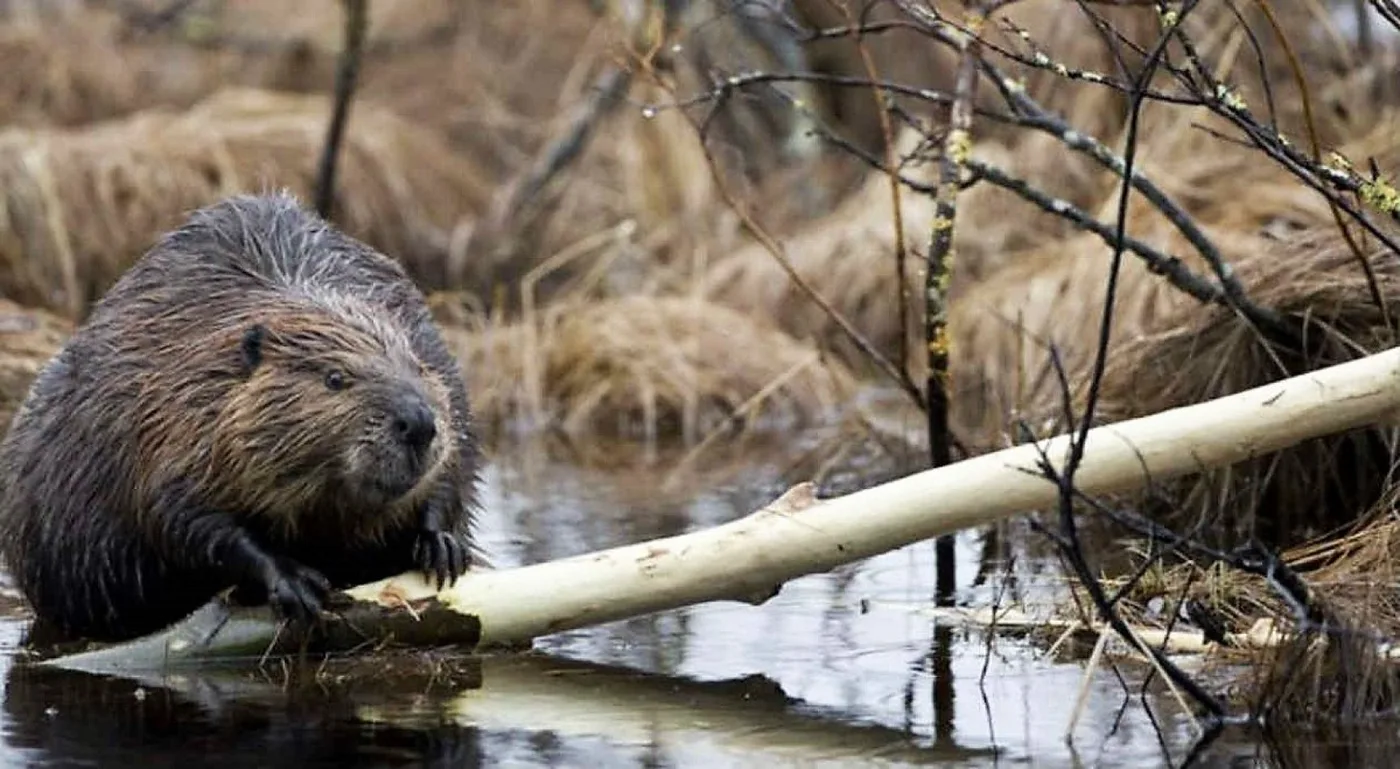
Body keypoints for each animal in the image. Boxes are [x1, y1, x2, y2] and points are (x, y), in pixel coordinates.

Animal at [0, 191, 484, 641]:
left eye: (418, 366)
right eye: (334, 378)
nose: (418, 423)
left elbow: (454, 467)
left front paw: (441, 545)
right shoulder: (168, 417)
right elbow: (182, 516)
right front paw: (295, 582)